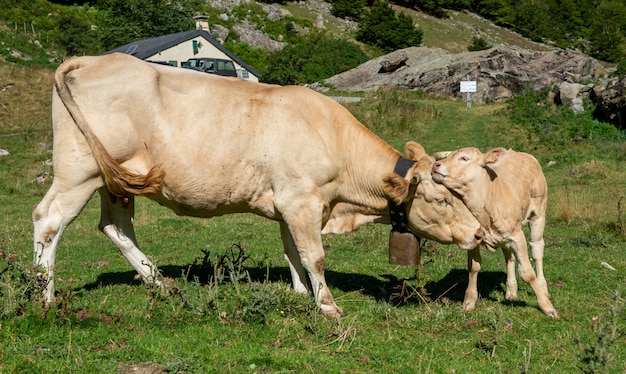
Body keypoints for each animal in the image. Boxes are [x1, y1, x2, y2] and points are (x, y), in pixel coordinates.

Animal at [31, 51, 482, 316]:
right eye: (441, 199)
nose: (479, 233)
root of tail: (91, 59)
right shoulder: (302, 200)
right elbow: (314, 256)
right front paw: (328, 306)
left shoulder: (289, 203)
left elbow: (293, 252)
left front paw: (300, 294)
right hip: (77, 172)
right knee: (48, 219)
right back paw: (42, 295)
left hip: (116, 180)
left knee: (116, 226)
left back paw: (161, 284)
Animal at [432, 148, 560, 318]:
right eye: (448, 156)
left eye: (464, 158)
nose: (435, 165)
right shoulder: (474, 235)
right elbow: (473, 267)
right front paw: (469, 300)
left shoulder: (518, 237)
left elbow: (527, 273)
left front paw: (546, 306)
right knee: (509, 257)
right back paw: (511, 290)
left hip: (538, 214)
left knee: (537, 249)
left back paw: (543, 288)